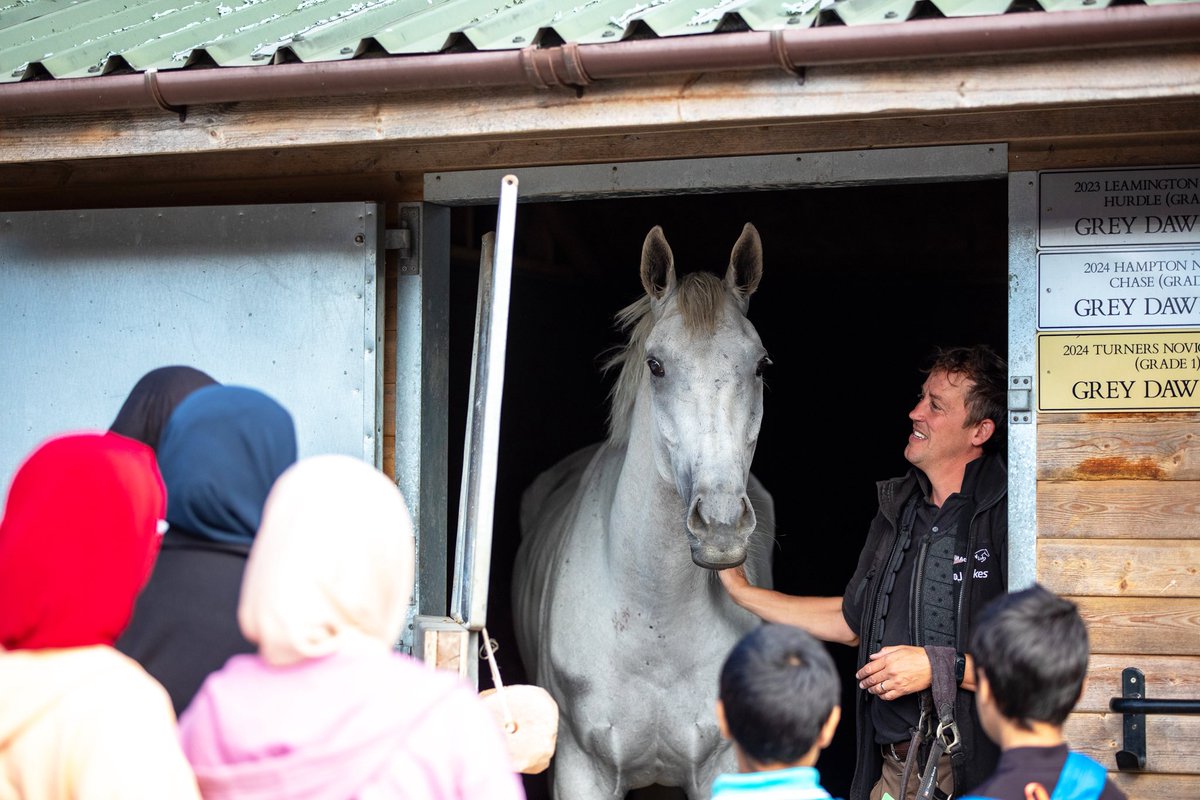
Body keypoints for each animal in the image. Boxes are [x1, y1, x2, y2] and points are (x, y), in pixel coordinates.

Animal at [512, 223, 776, 799]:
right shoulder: (580, 771)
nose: (720, 526)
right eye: (656, 365)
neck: (655, 626)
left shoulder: (722, 766)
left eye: (761, 364)